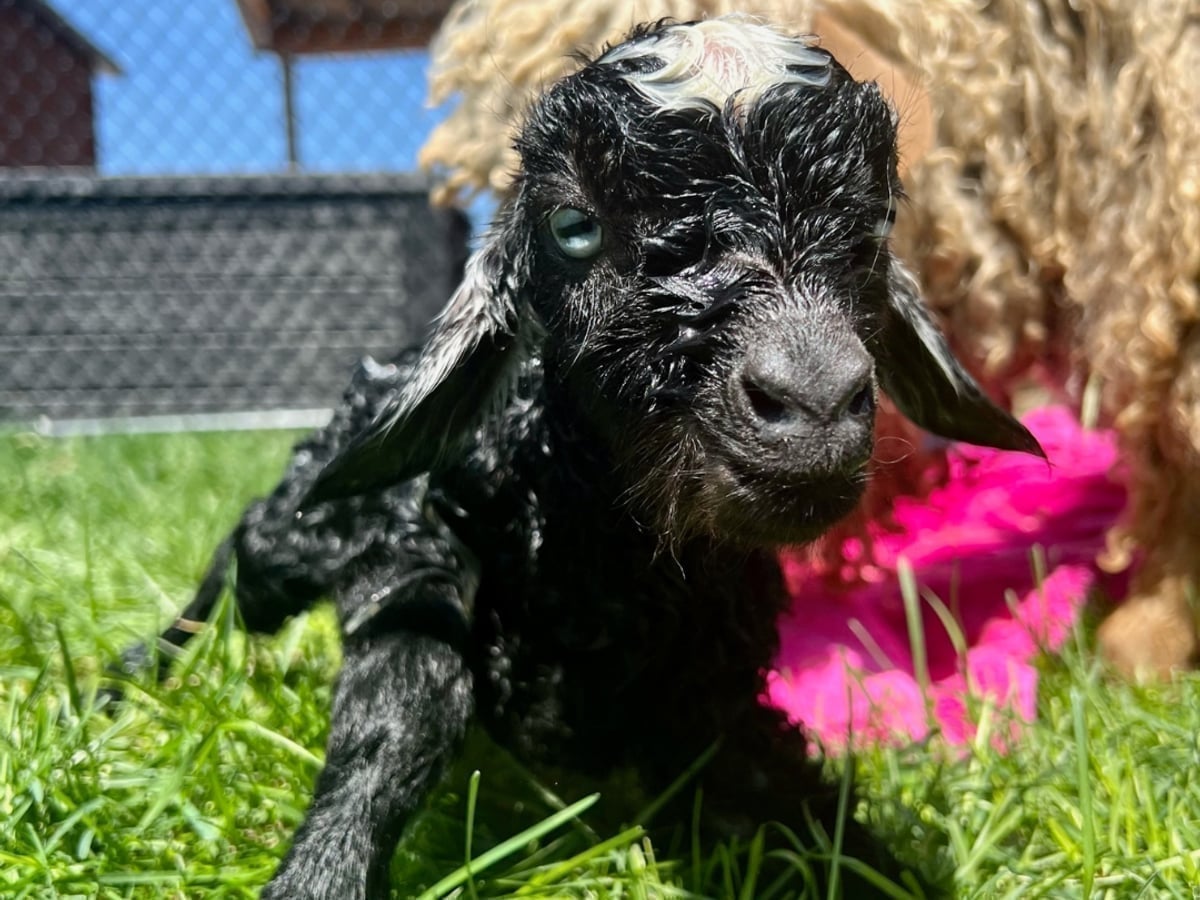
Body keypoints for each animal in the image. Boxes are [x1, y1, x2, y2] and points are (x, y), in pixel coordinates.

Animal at [124, 18, 1041, 898]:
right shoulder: (418, 562)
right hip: (305, 523)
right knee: (246, 558)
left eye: (877, 225)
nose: (813, 398)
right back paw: (131, 676)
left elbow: (802, 807)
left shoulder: (717, 689)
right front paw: (321, 872)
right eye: (574, 228)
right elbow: (400, 720)